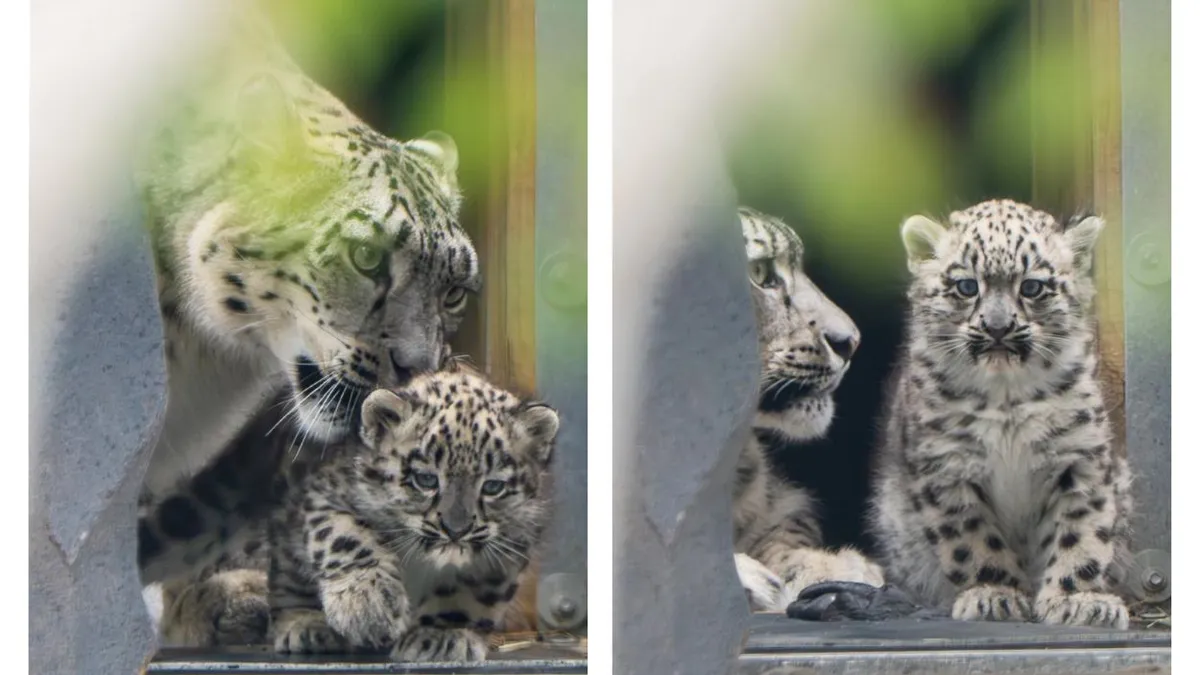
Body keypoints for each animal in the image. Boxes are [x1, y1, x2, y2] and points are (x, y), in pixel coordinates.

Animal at [867, 198, 1133, 629]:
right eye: (966, 285)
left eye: (1032, 286)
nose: (997, 327)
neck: (1006, 398)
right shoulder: (948, 466)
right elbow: (973, 540)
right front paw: (995, 594)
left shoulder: (1078, 460)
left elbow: (1080, 532)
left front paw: (1077, 600)